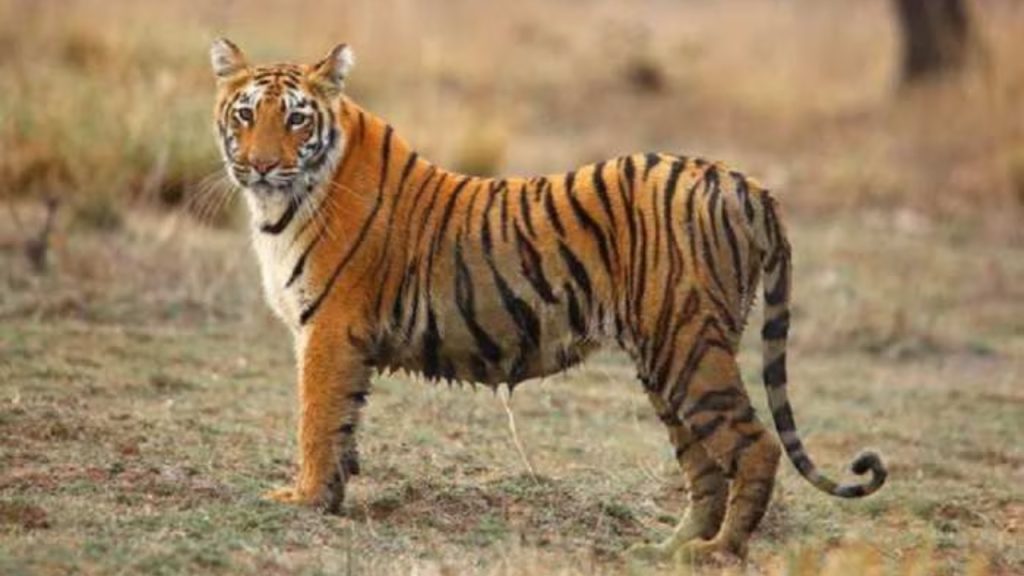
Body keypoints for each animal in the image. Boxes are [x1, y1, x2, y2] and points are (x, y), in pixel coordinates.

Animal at [208, 38, 886, 561]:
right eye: (245, 115)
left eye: (296, 119)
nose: (261, 165)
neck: (284, 200)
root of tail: (744, 182)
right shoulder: (338, 338)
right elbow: (343, 423)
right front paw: (331, 497)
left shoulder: (328, 329)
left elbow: (316, 420)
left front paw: (303, 499)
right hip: (670, 360)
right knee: (704, 467)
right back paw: (664, 549)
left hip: (690, 346)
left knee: (755, 445)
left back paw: (719, 551)